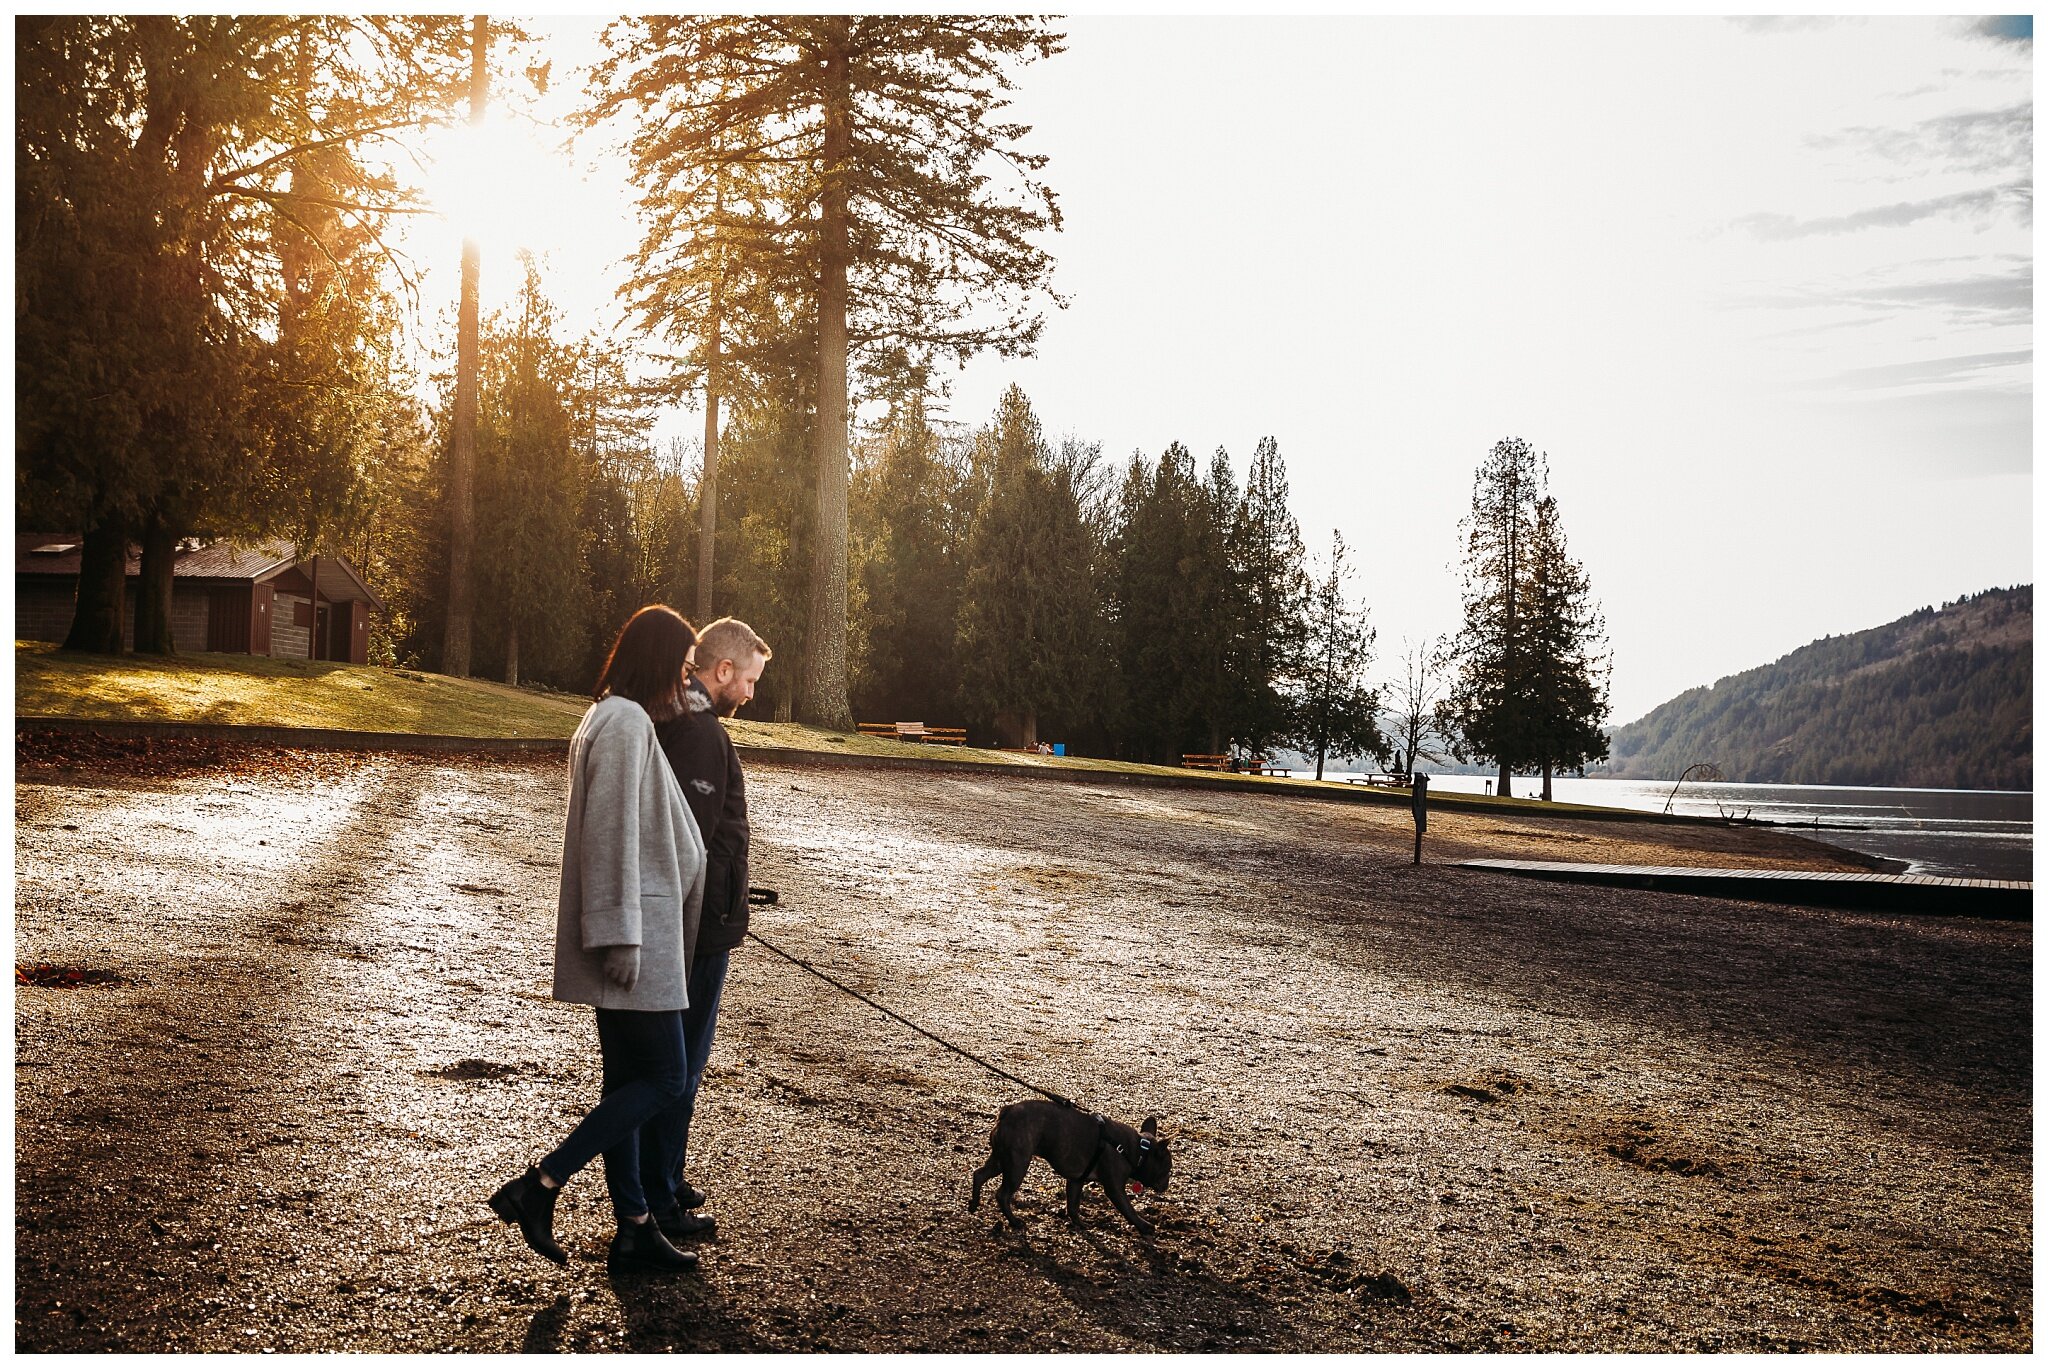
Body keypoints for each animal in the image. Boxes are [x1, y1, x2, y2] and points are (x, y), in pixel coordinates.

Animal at [970, 1098, 1179, 1237]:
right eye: (1167, 1170)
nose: (1167, 1184)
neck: (1138, 1150)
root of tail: (1008, 1111)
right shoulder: (1114, 1188)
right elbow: (1128, 1209)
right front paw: (1144, 1226)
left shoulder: (1076, 1180)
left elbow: (1073, 1205)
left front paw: (1079, 1223)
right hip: (1017, 1164)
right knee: (1002, 1194)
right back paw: (1014, 1222)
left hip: (1001, 1160)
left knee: (979, 1174)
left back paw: (974, 1204)